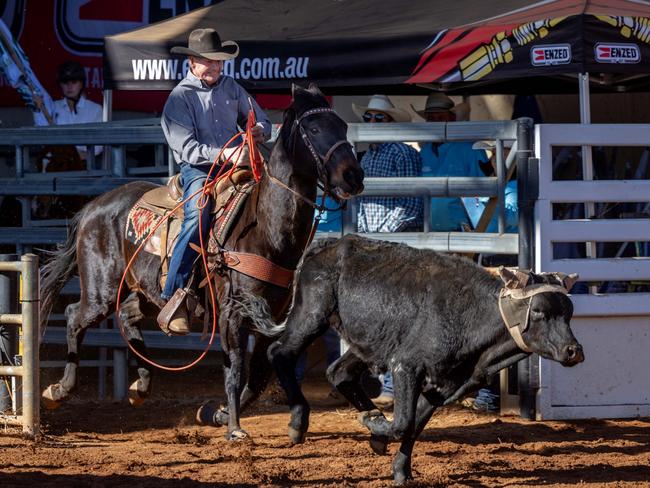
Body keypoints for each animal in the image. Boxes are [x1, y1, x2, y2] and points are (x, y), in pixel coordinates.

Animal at [38, 84, 364, 438]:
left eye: (342, 126)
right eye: (314, 129)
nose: (354, 175)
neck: (264, 227)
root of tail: (93, 207)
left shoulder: (271, 318)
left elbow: (258, 377)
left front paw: (218, 414)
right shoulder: (231, 315)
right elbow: (234, 370)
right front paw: (234, 428)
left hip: (147, 292)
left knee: (128, 317)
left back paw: (141, 387)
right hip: (102, 289)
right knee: (75, 315)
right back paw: (58, 391)